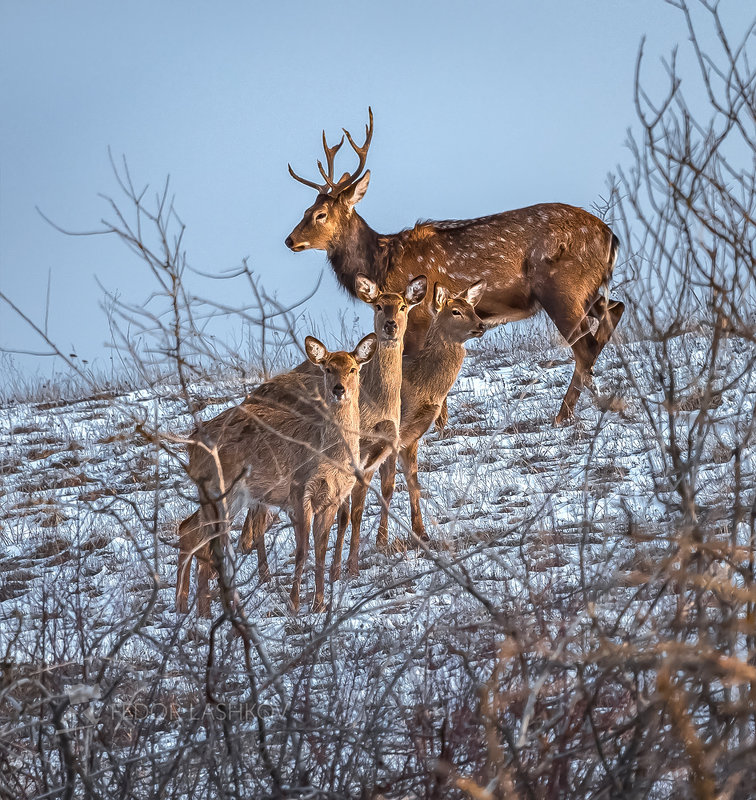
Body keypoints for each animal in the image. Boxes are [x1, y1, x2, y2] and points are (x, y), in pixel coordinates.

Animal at [177, 330, 378, 612]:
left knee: (193, 531)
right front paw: (294, 604)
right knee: (198, 536)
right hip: (218, 488)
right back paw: (197, 610)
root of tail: (191, 442)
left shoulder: (332, 499)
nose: (339, 389)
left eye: (353, 369)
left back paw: (192, 610)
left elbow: (321, 551)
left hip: (232, 496)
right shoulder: (299, 491)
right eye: (327, 368)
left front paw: (319, 604)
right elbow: (302, 551)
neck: (328, 456)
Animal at [286, 111, 624, 432]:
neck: (382, 262)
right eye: (304, 210)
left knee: (584, 347)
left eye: (320, 214)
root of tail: (611, 236)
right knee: (615, 311)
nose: (290, 240)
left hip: (561, 288)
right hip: (588, 289)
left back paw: (565, 414)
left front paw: (437, 426)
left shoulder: (419, 317)